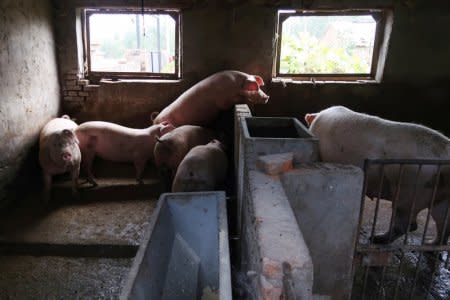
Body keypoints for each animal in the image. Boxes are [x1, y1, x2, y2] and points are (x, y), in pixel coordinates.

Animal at [306, 105, 450, 244]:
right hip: (439, 196)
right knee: (442, 223)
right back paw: (430, 243)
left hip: (410, 189)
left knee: (407, 224)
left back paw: (376, 239)